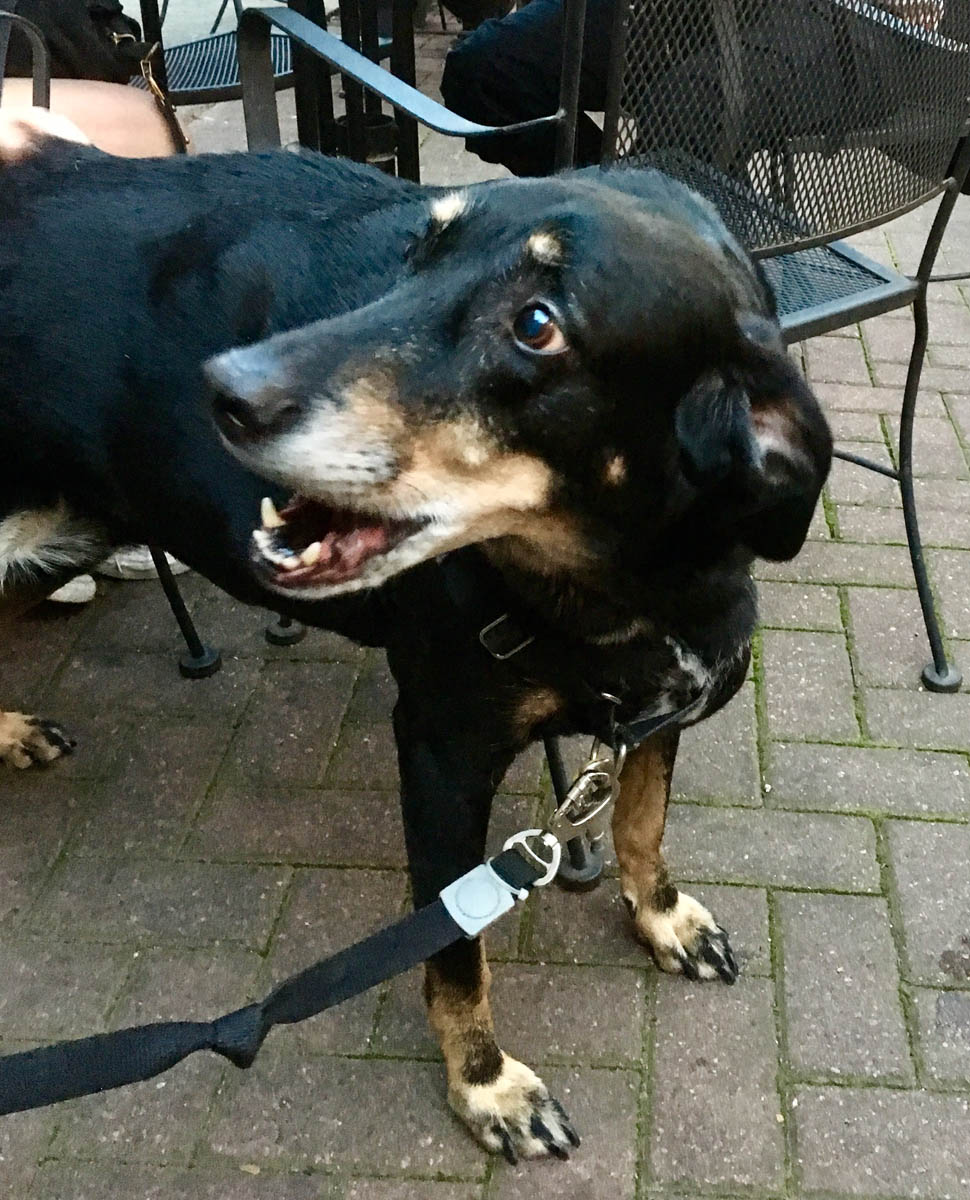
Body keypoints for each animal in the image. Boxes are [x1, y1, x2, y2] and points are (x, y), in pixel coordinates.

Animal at [0, 129, 835, 1161]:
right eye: (418, 251)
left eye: (536, 324)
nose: (222, 390)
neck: (611, 596)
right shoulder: (443, 752)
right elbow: (457, 951)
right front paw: (487, 1086)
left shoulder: (653, 710)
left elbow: (642, 824)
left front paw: (663, 917)